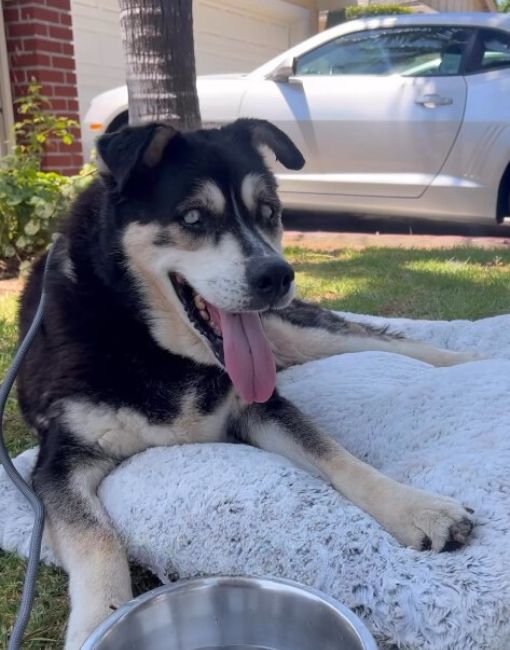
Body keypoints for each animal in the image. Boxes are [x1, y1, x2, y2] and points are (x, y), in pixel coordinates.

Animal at [17, 119, 476, 644]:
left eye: (269, 213)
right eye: (193, 216)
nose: (277, 276)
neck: (155, 346)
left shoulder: (257, 405)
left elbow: (335, 455)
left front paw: (417, 507)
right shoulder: (59, 461)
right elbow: (97, 537)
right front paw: (100, 621)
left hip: (292, 331)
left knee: (388, 342)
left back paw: (473, 358)